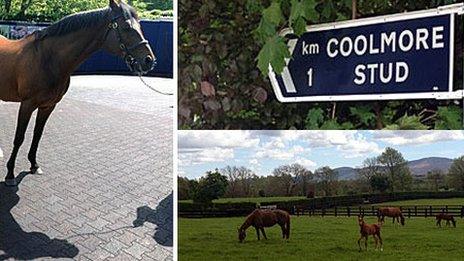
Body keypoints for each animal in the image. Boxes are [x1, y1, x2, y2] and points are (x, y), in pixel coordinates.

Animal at [0, 0, 156, 187]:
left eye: (140, 25)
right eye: (126, 27)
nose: (149, 60)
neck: (47, 58)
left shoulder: (48, 106)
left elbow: (37, 135)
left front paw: (34, 165)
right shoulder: (27, 105)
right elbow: (19, 137)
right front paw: (10, 174)